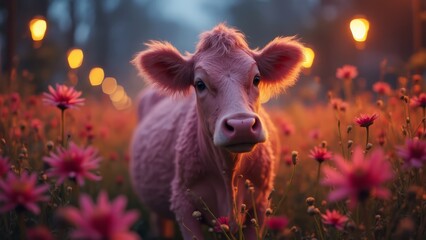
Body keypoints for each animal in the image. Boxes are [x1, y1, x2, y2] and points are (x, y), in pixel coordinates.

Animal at [130, 23, 302, 239]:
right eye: (199, 84)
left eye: (256, 79)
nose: (242, 125)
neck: (228, 174)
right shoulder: (183, 204)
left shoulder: (261, 204)